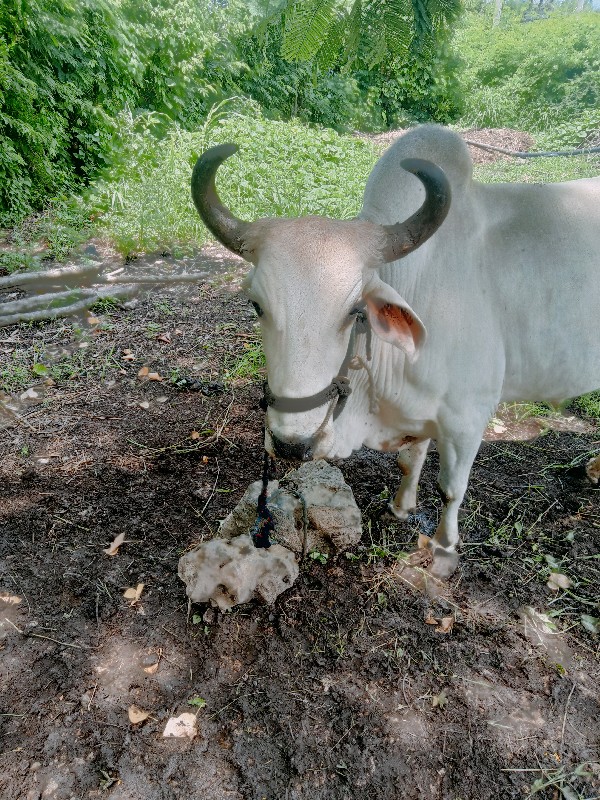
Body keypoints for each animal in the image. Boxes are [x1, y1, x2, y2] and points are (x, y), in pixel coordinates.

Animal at [192, 125, 600, 576]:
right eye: (256, 305)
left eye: (357, 311)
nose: (291, 444)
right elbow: (411, 460)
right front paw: (401, 507)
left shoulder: (467, 418)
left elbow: (451, 489)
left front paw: (443, 548)